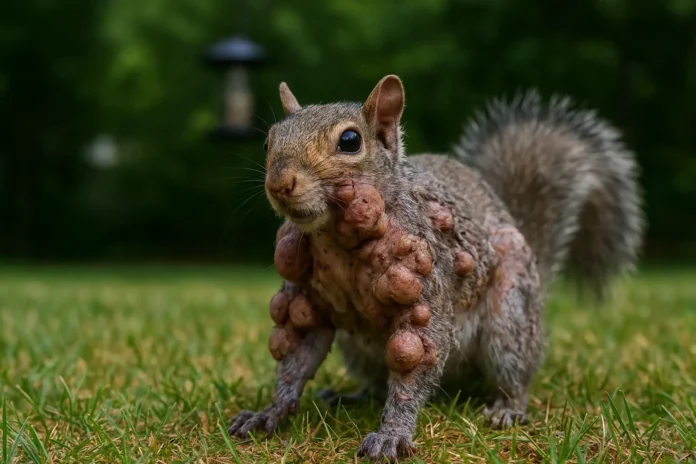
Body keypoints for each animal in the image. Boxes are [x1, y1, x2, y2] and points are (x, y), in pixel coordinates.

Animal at [227, 75, 644, 462]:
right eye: (268, 141)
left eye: (349, 141)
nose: (280, 182)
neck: (337, 240)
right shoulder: (308, 297)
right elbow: (297, 355)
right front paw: (269, 412)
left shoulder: (426, 280)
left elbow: (415, 358)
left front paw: (393, 434)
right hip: (358, 349)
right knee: (377, 382)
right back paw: (353, 396)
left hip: (509, 319)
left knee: (514, 372)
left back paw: (507, 408)